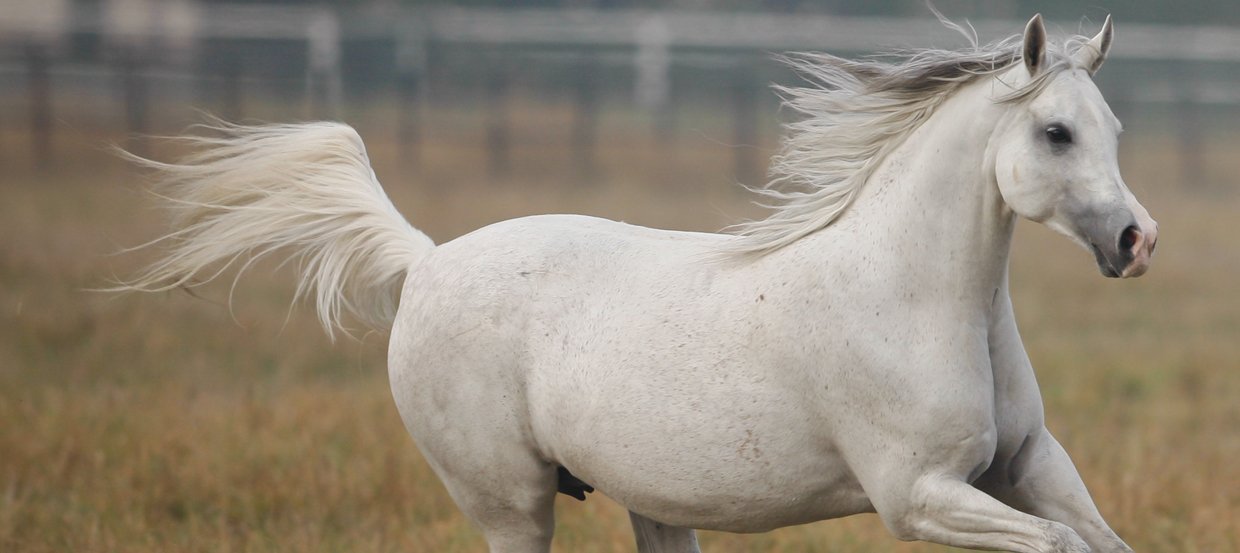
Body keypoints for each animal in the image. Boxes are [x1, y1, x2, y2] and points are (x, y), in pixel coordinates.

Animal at [120, 12, 1155, 553]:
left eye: (1112, 125)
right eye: (1055, 132)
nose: (1136, 240)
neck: (915, 300)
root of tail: (427, 260)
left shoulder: (1025, 467)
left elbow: (1100, 541)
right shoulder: (920, 495)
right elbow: (1063, 546)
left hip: (652, 505)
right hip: (511, 505)